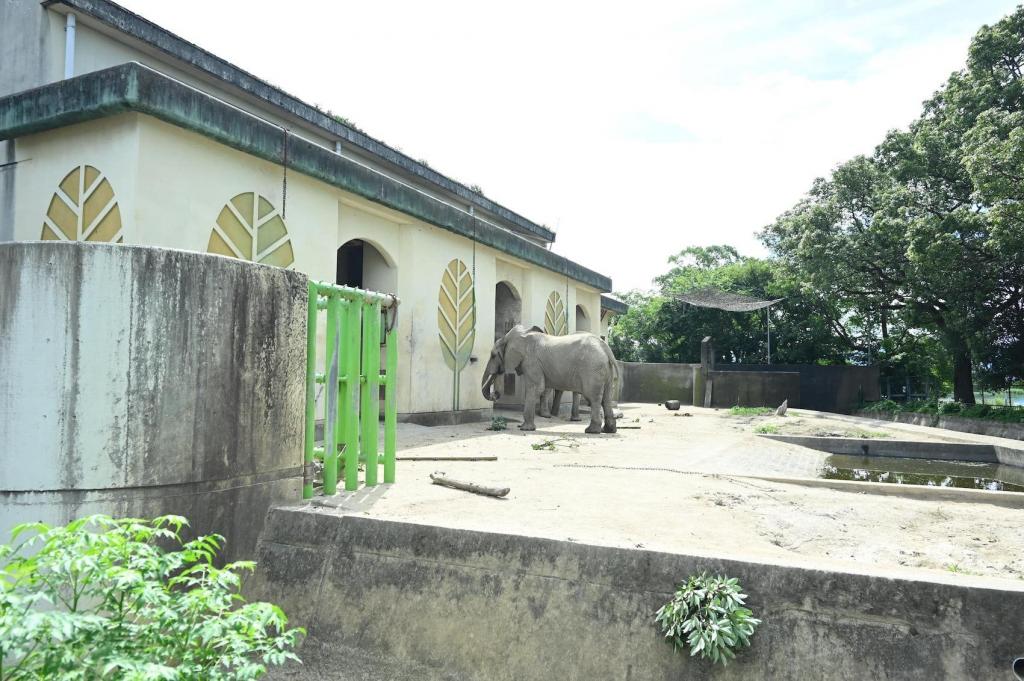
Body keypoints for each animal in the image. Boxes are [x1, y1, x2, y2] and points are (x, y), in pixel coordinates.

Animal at [479, 323, 614, 430]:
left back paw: (591, 430)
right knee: (606, 397)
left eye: (493, 355)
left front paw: (525, 429)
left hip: (592, 369)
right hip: (604, 370)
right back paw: (608, 430)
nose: (495, 394)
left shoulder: (531, 361)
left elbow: (536, 388)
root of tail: (606, 348)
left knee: (594, 396)